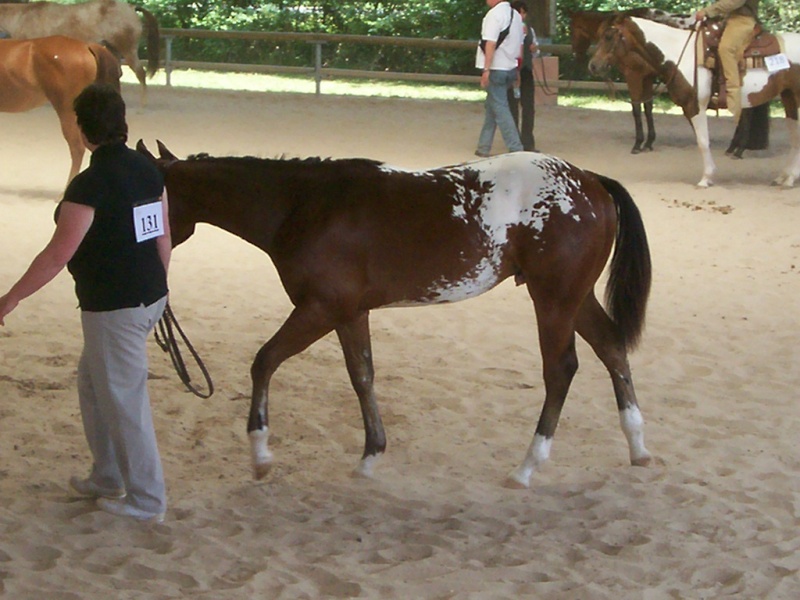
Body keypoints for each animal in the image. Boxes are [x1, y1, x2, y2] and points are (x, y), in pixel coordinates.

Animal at [136, 141, 648, 488]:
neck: (302, 206)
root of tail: (592, 181)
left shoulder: (319, 309)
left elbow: (264, 361)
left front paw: (261, 455)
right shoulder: (349, 313)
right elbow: (362, 375)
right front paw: (370, 456)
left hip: (554, 300)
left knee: (561, 370)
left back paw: (527, 466)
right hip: (575, 298)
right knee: (612, 349)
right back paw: (639, 447)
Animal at [568, 9, 768, 156]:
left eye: (572, 30)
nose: (591, 65)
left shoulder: (635, 75)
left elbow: (636, 108)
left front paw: (638, 143)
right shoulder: (648, 77)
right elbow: (647, 107)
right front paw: (649, 141)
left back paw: (738, 148)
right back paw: (733, 147)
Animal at [588, 16, 800, 186]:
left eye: (608, 37)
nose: (593, 65)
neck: (680, 55)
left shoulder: (696, 106)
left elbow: (702, 141)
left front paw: (706, 178)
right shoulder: (687, 108)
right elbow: (701, 139)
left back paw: (788, 178)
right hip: (789, 98)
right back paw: (785, 177)